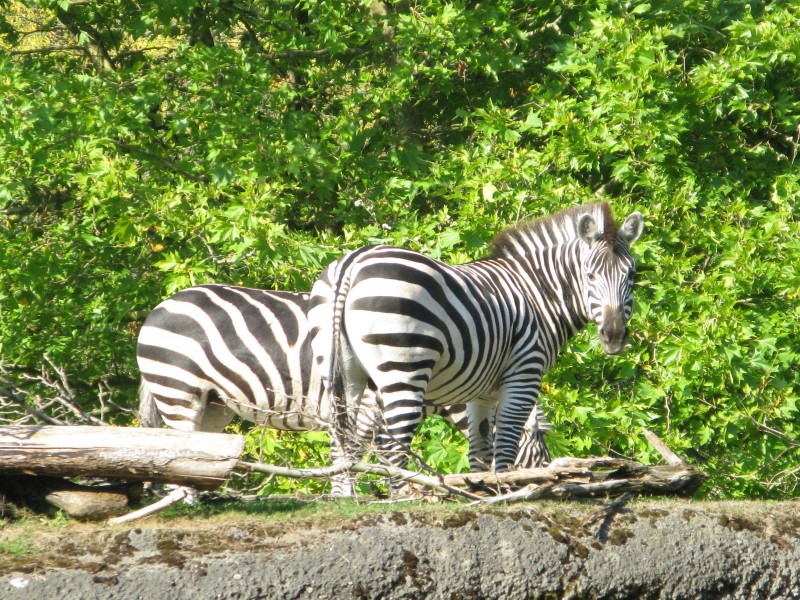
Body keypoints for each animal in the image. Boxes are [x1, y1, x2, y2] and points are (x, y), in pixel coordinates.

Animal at [136, 286, 552, 496]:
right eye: (539, 438)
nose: (550, 482)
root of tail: (163, 303)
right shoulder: (371, 401)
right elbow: (365, 448)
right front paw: (361, 493)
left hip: (215, 404)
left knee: (199, 453)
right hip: (179, 387)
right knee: (179, 448)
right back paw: (186, 501)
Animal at [308, 202, 644, 474]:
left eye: (631, 276)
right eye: (590, 276)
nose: (614, 335)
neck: (539, 293)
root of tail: (352, 263)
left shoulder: (483, 390)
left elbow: (480, 449)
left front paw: (484, 488)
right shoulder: (524, 373)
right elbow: (506, 444)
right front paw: (507, 490)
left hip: (345, 372)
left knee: (343, 441)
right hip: (403, 367)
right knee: (393, 446)